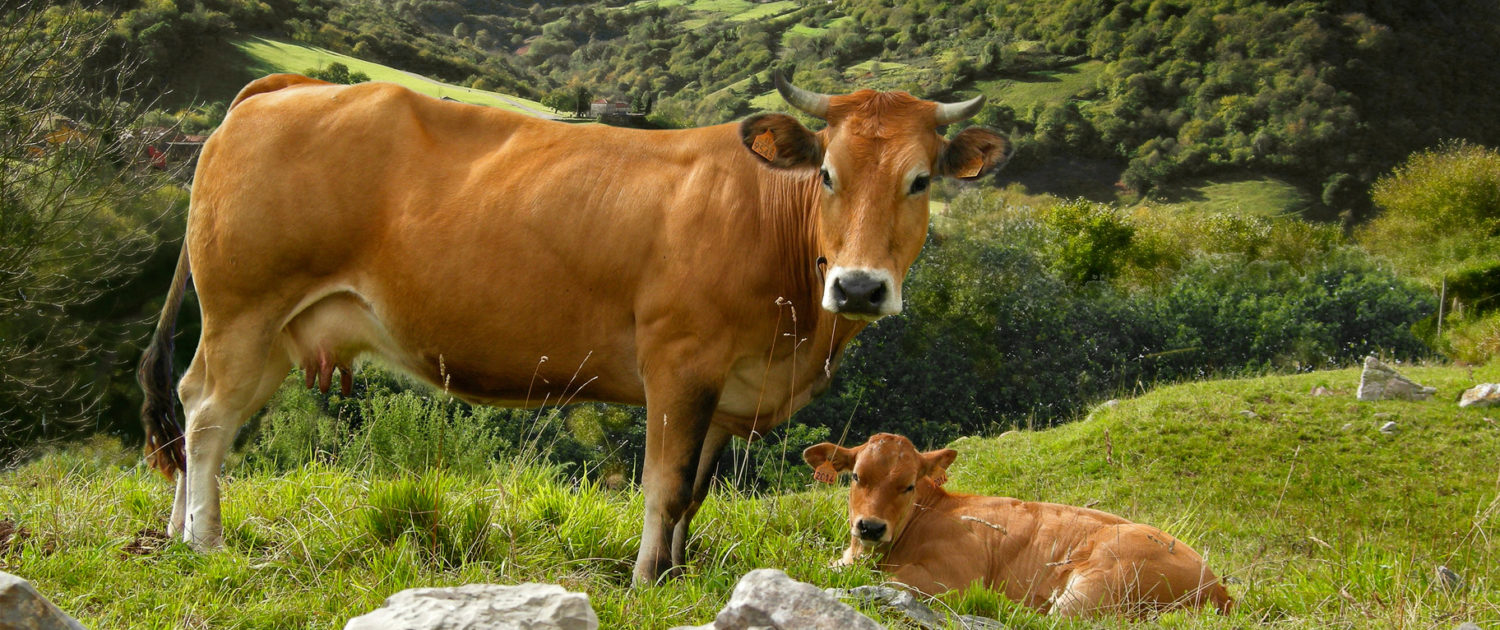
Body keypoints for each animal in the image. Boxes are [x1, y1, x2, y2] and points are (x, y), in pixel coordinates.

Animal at [138, 72, 1008, 582]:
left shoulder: (727, 390)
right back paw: (207, 543)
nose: (858, 285)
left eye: (919, 181)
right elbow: (664, 485)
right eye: (827, 173)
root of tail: (286, 88)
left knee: (199, 403)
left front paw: (680, 574)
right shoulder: (679, 364)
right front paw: (646, 580)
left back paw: (177, 532)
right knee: (209, 418)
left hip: (277, 329)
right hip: (246, 307)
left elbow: (695, 492)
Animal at [804, 435, 1236, 618]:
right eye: (857, 477)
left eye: (908, 485)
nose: (871, 527)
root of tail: (1218, 587)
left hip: (1098, 582)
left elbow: (888, 584)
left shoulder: (953, 579)